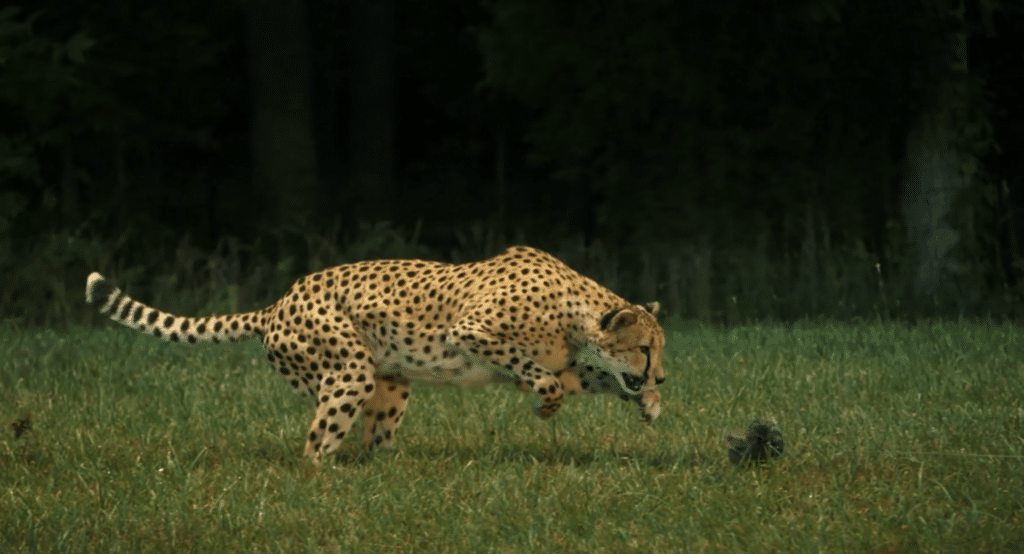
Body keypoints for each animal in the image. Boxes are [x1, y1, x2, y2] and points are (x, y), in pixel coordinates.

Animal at [85, 245, 666, 463]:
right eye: (644, 348)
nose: (660, 378)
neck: (576, 309)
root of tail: (279, 302)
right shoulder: (470, 332)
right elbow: (538, 375)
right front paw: (546, 407)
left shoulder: (571, 363)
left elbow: (588, 377)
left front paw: (649, 407)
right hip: (350, 369)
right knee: (314, 445)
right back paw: (327, 482)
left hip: (391, 384)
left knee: (371, 439)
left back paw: (384, 471)